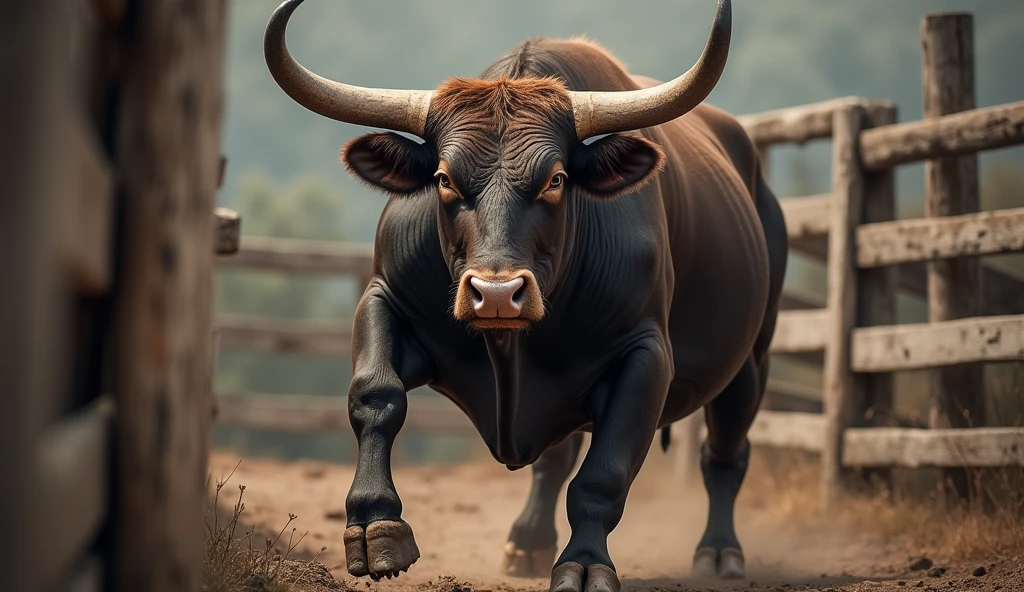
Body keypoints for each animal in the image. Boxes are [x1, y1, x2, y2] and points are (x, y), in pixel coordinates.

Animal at [264, 1, 787, 590]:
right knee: (556, 458)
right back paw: (528, 543)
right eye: (443, 178)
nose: (496, 293)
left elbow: (604, 473)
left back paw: (719, 551)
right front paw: (375, 526)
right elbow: (376, 395)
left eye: (556, 179)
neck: (508, 352)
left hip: (752, 359)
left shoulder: (646, 354)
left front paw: (585, 563)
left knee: (725, 452)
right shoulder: (382, 300)